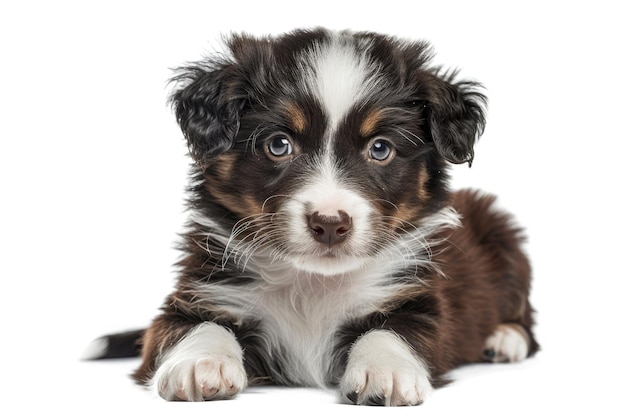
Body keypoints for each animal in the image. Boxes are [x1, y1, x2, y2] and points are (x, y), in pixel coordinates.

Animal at [85, 27, 540, 404]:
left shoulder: (420, 301)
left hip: (504, 233)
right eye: (278, 144)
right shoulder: (199, 291)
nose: (330, 225)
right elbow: (197, 326)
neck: (313, 283)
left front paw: (385, 370)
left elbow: (394, 330)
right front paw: (201, 363)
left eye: (380, 148)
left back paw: (505, 339)